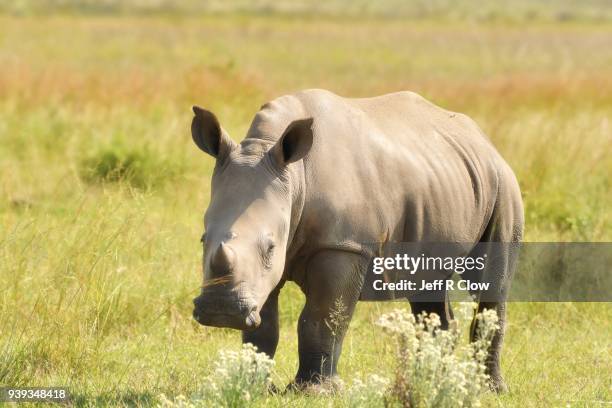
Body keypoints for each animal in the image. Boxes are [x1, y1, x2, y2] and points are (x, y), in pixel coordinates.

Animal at [191, 88, 520, 392]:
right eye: (203, 240)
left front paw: (314, 391)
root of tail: (484, 142)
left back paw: (487, 389)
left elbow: (322, 318)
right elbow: (264, 326)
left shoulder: (343, 245)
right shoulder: (263, 271)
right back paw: (431, 382)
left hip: (503, 184)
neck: (293, 175)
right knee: (427, 284)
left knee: (491, 281)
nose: (221, 310)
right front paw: (255, 387)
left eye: (271, 246)